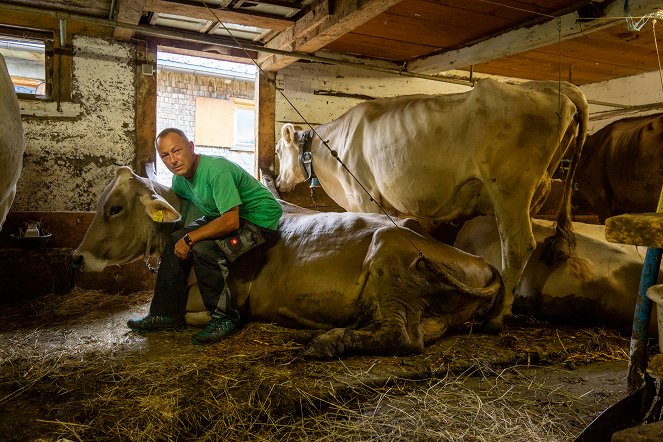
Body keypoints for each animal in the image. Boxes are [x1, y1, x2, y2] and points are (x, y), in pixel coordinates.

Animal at [74, 167, 504, 358]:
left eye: (114, 208)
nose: (77, 258)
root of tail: (482, 264)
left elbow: (193, 315)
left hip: (390, 262)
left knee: (402, 337)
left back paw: (326, 341)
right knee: (423, 332)